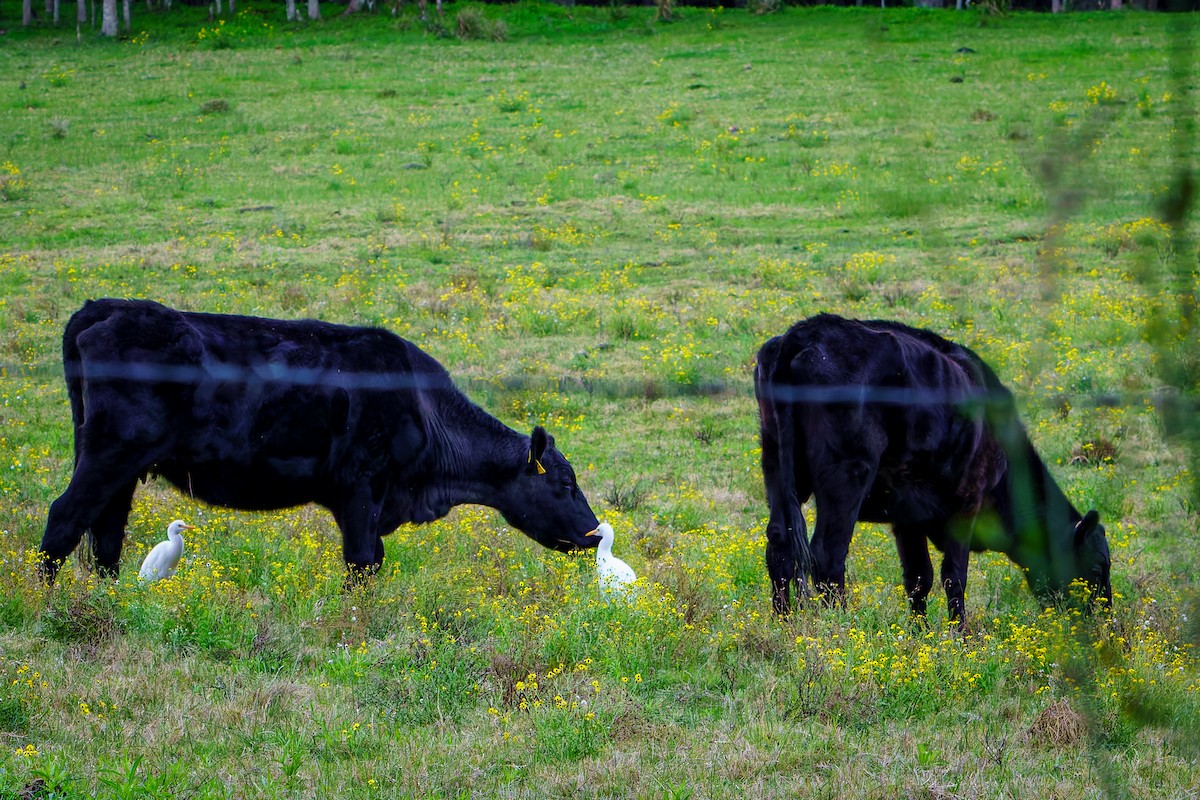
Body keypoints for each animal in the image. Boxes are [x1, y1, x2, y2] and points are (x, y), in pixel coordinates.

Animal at [39, 299, 600, 582]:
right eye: (565, 484)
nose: (594, 535)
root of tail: (103, 308)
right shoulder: (361, 488)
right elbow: (363, 561)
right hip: (111, 452)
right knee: (66, 518)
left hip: (120, 465)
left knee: (106, 535)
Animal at [753, 316, 1108, 623]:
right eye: (1096, 569)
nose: (1104, 625)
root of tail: (804, 332)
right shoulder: (967, 501)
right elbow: (954, 576)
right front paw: (962, 637)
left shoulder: (906, 514)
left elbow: (918, 576)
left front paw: (918, 633)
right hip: (848, 474)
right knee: (828, 555)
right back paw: (840, 629)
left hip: (776, 464)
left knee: (780, 544)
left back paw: (784, 625)